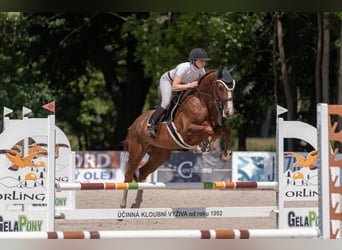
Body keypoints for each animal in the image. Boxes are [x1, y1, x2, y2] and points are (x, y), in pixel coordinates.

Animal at [121, 67, 236, 209]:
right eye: (220, 87)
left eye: (233, 87)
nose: (229, 112)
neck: (203, 103)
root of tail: (134, 124)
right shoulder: (187, 131)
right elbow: (210, 129)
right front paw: (203, 146)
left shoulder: (215, 126)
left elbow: (225, 130)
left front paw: (224, 154)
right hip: (137, 151)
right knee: (128, 175)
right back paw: (123, 205)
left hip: (160, 155)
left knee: (142, 172)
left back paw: (136, 203)